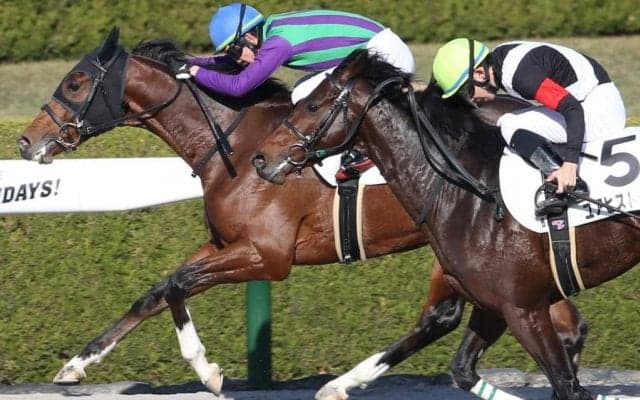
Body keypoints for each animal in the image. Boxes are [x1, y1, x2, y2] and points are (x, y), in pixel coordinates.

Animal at [16, 29, 584, 400]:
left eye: (74, 82)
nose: (25, 141)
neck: (237, 145)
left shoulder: (267, 256)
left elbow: (177, 284)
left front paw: (208, 371)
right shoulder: (226, 244)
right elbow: (156, 292)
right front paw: (75, 366)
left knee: (456, 316)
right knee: (562, 321)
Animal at [252, 49, 640, 400]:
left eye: (312, 106)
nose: (261, 158)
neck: (470, 191)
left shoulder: (524, 309)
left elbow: (567, 387)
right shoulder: (495, 304)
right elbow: (462, 368)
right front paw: (335, 387)